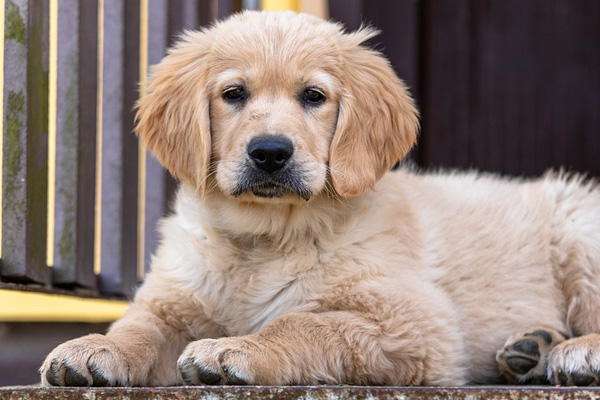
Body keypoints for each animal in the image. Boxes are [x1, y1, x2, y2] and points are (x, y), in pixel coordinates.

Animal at [41, 10, 600, 388]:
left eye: (313, 96)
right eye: (234, 94)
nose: (269, 152)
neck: (264, 236)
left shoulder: (418, 323)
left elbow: (305, 322)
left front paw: (238, 348)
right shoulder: (171, 301)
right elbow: (138, 328)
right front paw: (95, 349)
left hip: (579, 228)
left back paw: (573, 352)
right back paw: (532, 349)